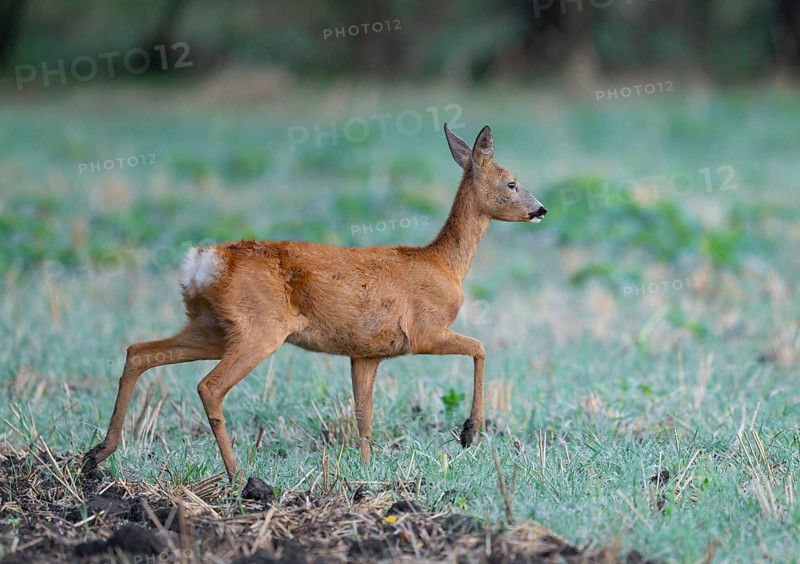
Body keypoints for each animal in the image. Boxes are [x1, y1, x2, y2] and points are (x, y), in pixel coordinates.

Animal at [81, 124, 547, 482]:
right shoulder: (424, 332)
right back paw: (236, 475)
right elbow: (480, 347)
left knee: (138, 351)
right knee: (208, 386)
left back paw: (96, 455)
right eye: (511, 182)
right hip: (259, 329)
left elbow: (364, 414)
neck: (445, 264)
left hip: (210, 327)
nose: (541, 209)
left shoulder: (366, 352)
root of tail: (205, 262)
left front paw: (366, 469)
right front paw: (470, 431)